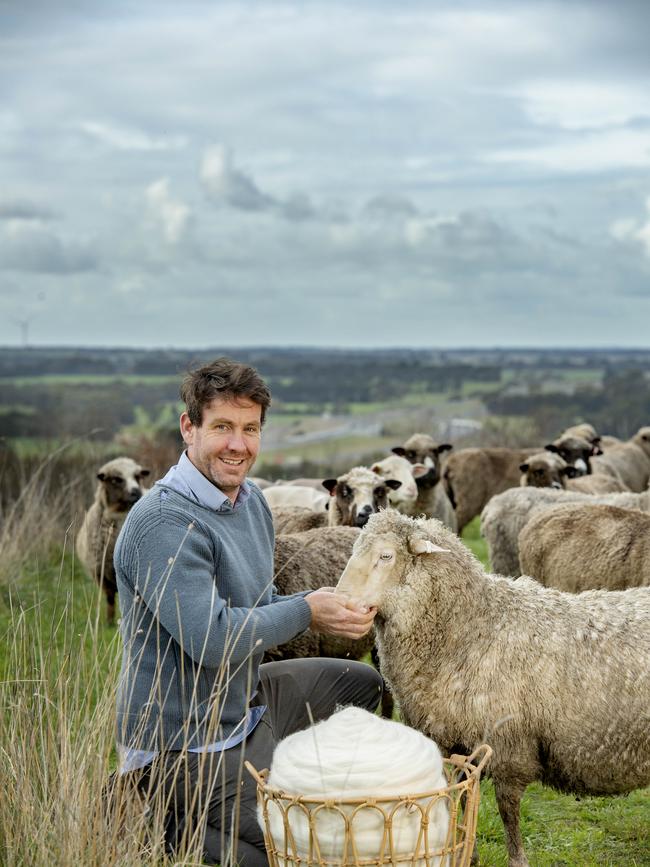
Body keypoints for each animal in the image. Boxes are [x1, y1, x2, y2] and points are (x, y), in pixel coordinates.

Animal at [334, 508, 648, 867]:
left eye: (385, 556)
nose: (339, 601)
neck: (472, 627)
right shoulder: (460, 741)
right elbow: (463, 798)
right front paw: (466, 853)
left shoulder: (509, 745)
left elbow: (507, 810)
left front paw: (517, 859)